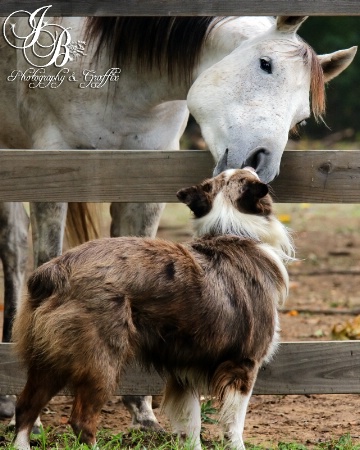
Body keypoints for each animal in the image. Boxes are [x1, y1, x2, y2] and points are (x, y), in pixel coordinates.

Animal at [11, 169, 292, 450]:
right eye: (247, 173)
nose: (256, 166)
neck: (232, 229)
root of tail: (55, 271)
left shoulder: (185, 371)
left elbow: (191, 426)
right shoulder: (243, 364)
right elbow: (234, 425)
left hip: (47, 360)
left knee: (25, 408)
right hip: (101, 362)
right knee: (81, 420)